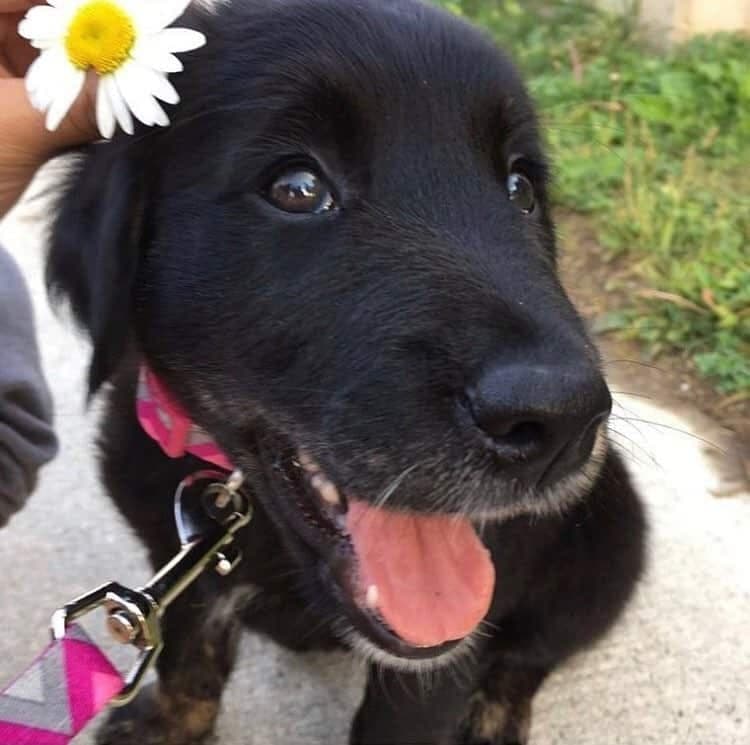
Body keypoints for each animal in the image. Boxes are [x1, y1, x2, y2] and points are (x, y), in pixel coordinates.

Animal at [48, 2, 648, 740]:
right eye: (298, 188)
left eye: (520, 188)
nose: (563, 420)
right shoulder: (179, 558)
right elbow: (189, 655)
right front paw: (168, 725)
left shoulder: (455, 639)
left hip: (611, 543)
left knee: (528, 655)